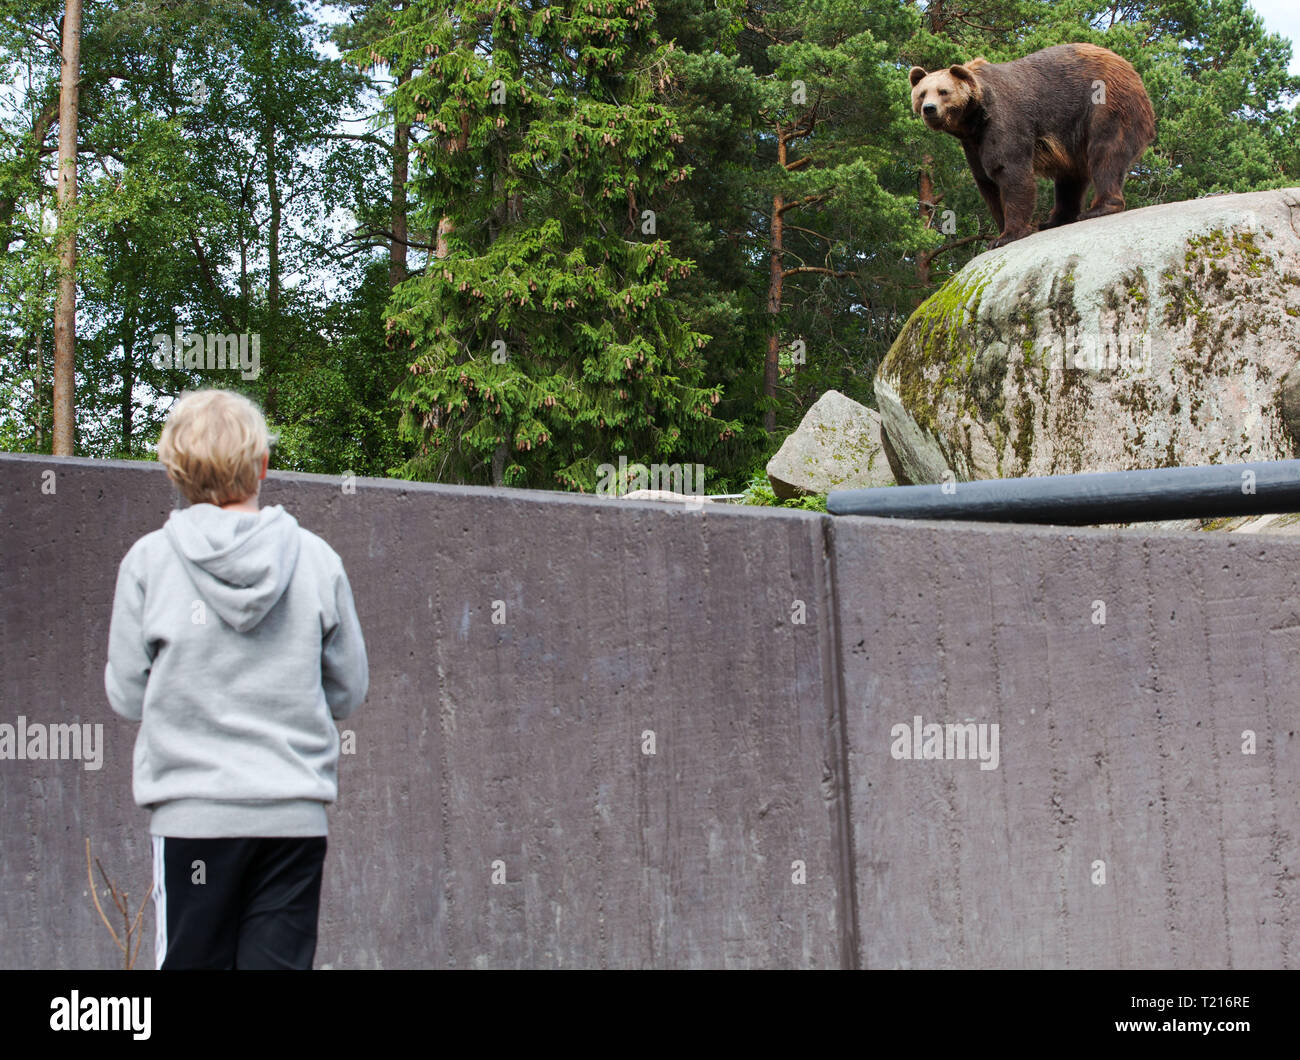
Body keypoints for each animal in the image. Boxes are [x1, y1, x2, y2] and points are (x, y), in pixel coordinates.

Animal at [908, 44, 1156, 248]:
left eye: (943, 91)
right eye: (922, 93)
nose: (929, 109)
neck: (974, 119)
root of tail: (1132, 71)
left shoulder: (1005, 122)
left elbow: (1010, 172)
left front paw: (1008, 235)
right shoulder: (973, 145)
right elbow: (987, 183)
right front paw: (1000, 231)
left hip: (1105, 104)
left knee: (1105, 152)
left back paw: (1099, 208)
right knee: (1070, 177)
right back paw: (1055, 219)